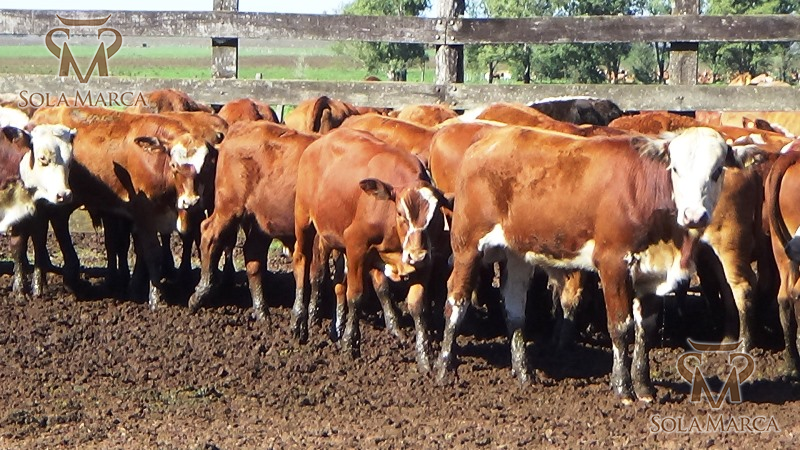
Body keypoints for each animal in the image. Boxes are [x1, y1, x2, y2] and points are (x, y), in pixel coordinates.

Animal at [1, 124, 74, 295]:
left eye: (70, 161)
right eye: (42, 158)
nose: (64, 195)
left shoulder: (33, 216)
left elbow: (30, 246)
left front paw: (32, 289)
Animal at [188, 121, 318, 320]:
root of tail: (240, 128)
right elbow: (316, 274)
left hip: (261, 221)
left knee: (252, 254)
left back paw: (261, 311)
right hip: (229, 207)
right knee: (209, 235)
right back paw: (201, 293)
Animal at [292, 128, 450, 371]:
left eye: (434, 216)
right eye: (400, 214)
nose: (416, 255)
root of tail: (319, 143)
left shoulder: (425, 261)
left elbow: (417, 306)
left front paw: (425, 358)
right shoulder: (356, 245)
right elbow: (356, 296)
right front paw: (350, 345)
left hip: (329, 235)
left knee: (326, 275)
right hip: (303, 220)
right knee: (302, 261)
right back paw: (300, 321)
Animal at [434, 125, 763, 403]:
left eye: (717, 171)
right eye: (676, 169)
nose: (694, 215)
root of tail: (489, 139)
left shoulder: (652, 276)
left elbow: (646, 329)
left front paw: (645, 387)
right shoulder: (613, 263)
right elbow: (620, 326)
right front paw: (623, 388)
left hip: (518, 254)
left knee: (514, 309)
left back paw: (525, 374)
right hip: (467, 246)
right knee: (456, 301)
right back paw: (444, 368)